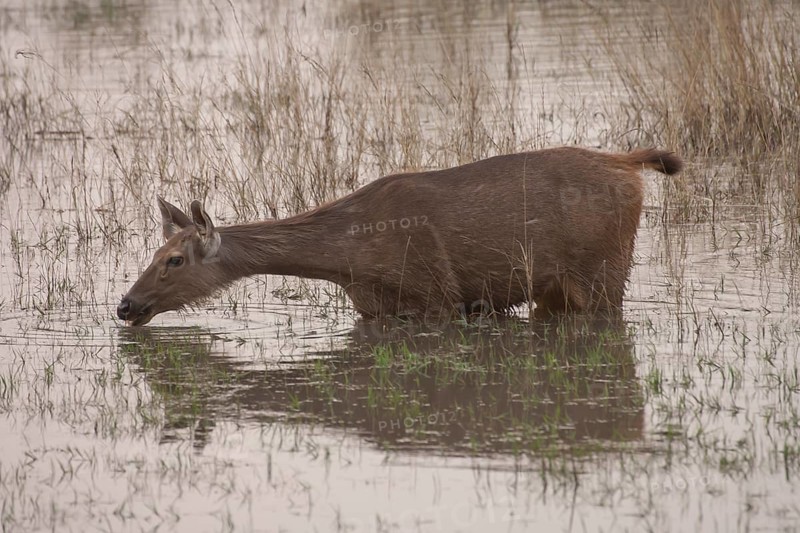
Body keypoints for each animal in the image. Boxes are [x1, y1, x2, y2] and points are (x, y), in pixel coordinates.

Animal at [116, 146, 683, 326]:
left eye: (173, 260)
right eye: (154, 250)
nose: (125, 305)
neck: (347, 259)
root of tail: (629, 163)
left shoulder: (437, 294)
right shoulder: (374, 306)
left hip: (604, 269)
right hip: (556, 286)